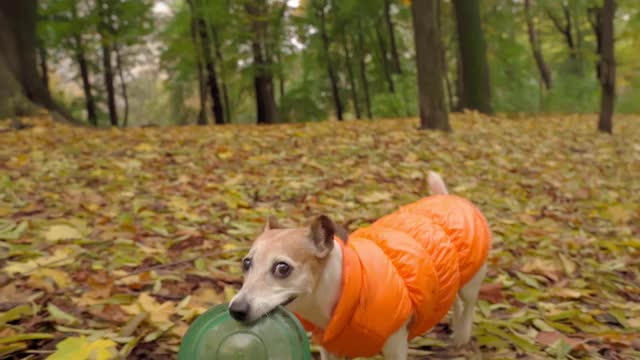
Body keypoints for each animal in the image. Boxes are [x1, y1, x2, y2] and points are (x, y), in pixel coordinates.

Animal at [229, 173, 490, 358]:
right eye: (246, 263)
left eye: (282, 268)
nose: (235, 310)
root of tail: (448, 197)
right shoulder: (330, 349)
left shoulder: (395, 345)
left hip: (471, 283)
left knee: (467, 306)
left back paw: (462, 337)